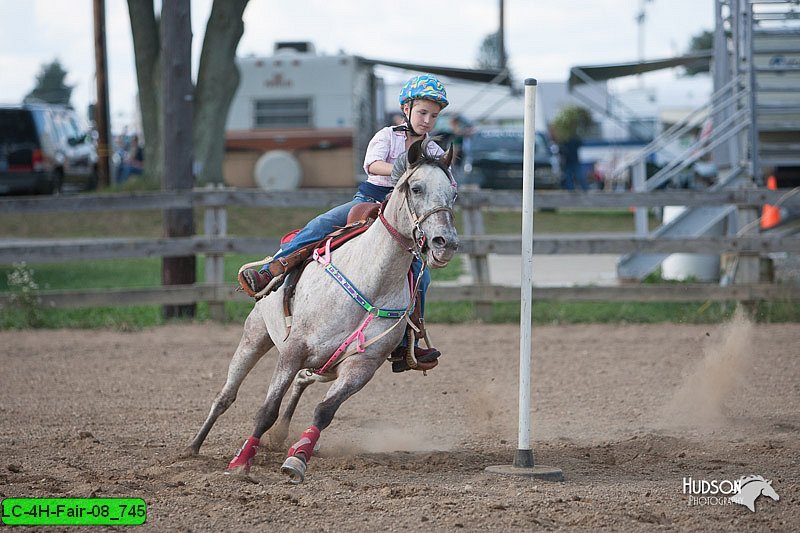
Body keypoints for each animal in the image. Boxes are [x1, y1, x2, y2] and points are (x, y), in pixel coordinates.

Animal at [188, 140, 460, 482]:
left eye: (453, 194)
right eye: (416, 187)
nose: (444, 243)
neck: (372, 280)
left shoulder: (361, 367)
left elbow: (324, 411)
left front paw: (297, 458)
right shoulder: (293, 350)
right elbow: (266, 410)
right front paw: (241, 461)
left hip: (324, 365)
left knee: (303, 382)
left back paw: (280, 437)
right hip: (255, 334)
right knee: (227, 394)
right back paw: (194, 446)